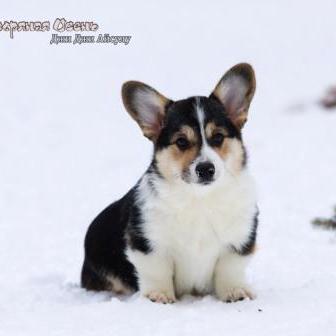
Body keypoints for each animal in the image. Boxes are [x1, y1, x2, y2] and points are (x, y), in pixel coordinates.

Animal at [80, 62, 258, 302]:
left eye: (218, 137)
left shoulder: (238, 242)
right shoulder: (148, 244)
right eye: (181, 142)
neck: (199, 199)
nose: (205, 169)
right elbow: (157, 272)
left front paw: (235, 291)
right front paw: (158, 296)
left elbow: (229, 269)